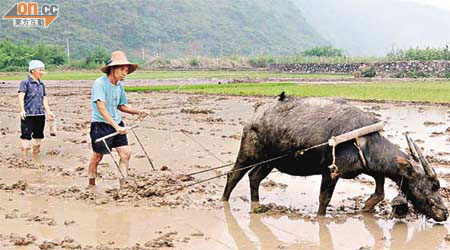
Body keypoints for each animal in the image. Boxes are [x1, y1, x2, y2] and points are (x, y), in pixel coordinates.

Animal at [221, 95, 446, 221]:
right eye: (433, 185)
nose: (444, 213)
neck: (362, 140)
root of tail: (256, 113)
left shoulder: (372, 168)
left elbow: (380, 190)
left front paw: (367, 206)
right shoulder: (331, 173)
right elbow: (324, 199)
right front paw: (320, 217)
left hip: (270, 162)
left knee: (254, 177)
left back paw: (256, 206)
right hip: (249, 154)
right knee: (234, 174)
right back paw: (223, 201)